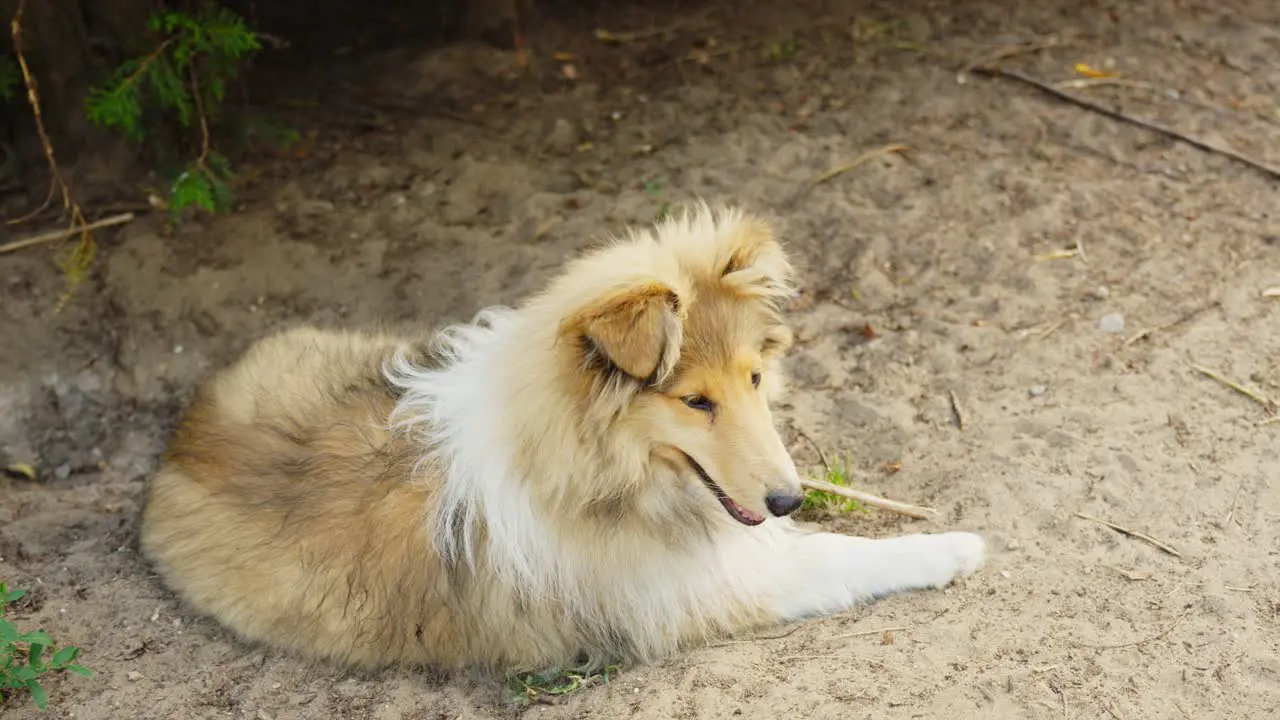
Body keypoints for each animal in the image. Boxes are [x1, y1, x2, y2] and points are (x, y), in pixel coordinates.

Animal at [137, 202, 977, 671]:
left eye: (755, 379)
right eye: (694, 401)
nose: (787, 499)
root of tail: (182, 435)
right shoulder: (696, 590)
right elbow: (838, 557)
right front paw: (956, 547)